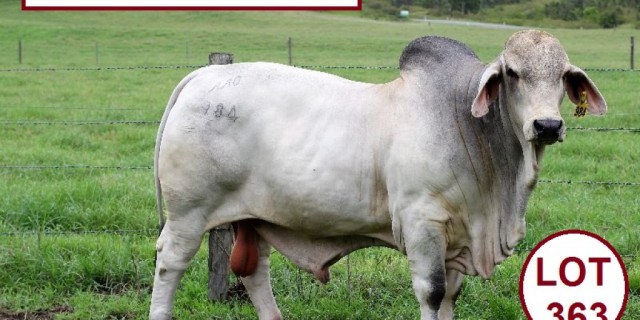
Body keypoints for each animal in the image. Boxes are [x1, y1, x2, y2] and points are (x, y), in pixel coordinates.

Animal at [149, 28, 604, 318]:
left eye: (564, 75)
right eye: (512, 73)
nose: (547, 125)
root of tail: (203, 75)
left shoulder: (459, 235)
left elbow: (452, 296)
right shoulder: (422, 222)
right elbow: (432, 293)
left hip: (256, 216)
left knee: (255, 273)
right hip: (188, 212)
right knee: (170, 263)